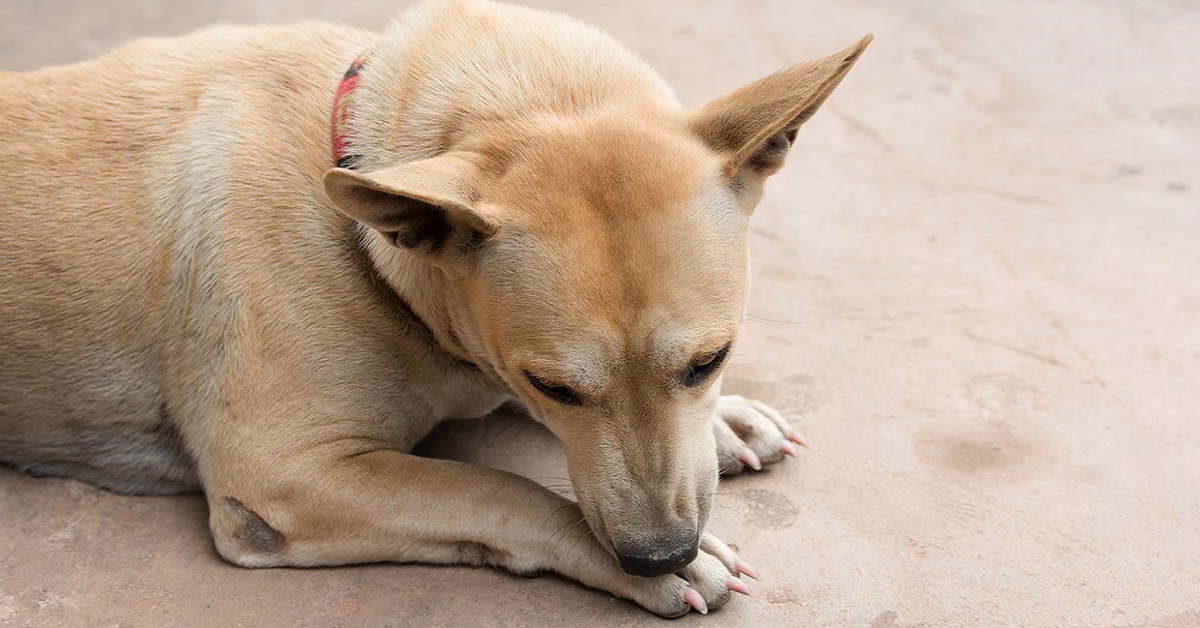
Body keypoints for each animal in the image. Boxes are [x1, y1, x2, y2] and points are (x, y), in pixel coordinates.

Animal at [0, 0, 864, 619]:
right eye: (555, 386)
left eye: (710, 360)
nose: (661, 554)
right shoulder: (281, 476)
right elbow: (495, 490)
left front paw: (725, 420)